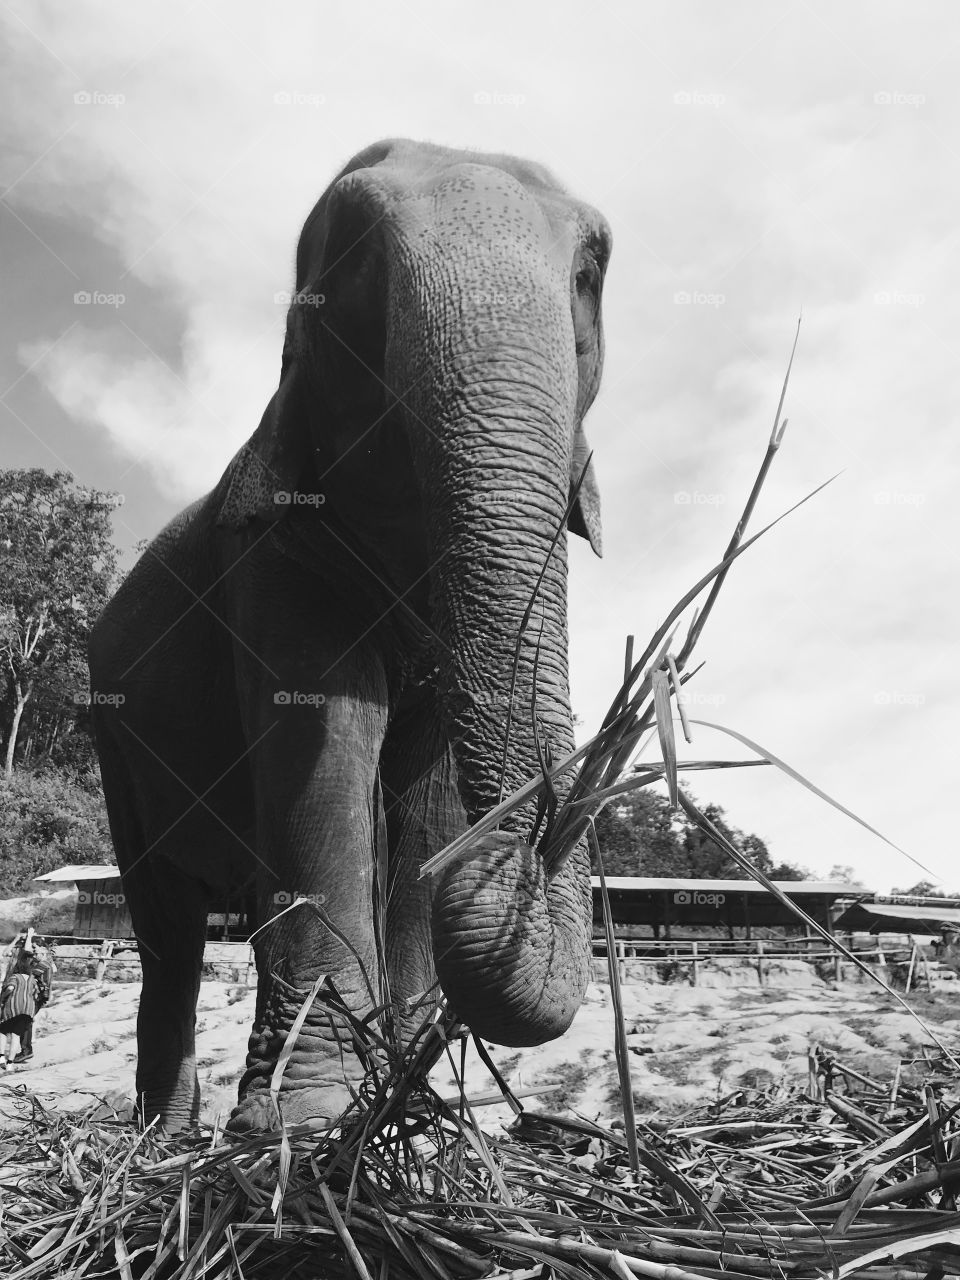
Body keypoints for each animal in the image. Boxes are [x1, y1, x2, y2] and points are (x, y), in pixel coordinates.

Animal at [88, 138, 611, 1133]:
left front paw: (410, 1117)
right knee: (167, 931)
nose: (531, 853)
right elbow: (324, 757)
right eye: (359, 263)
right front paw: (309, 1123)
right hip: (115, 745)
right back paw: (165, 1140)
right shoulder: (270, 560)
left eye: (589, 274)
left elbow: (430, 801)